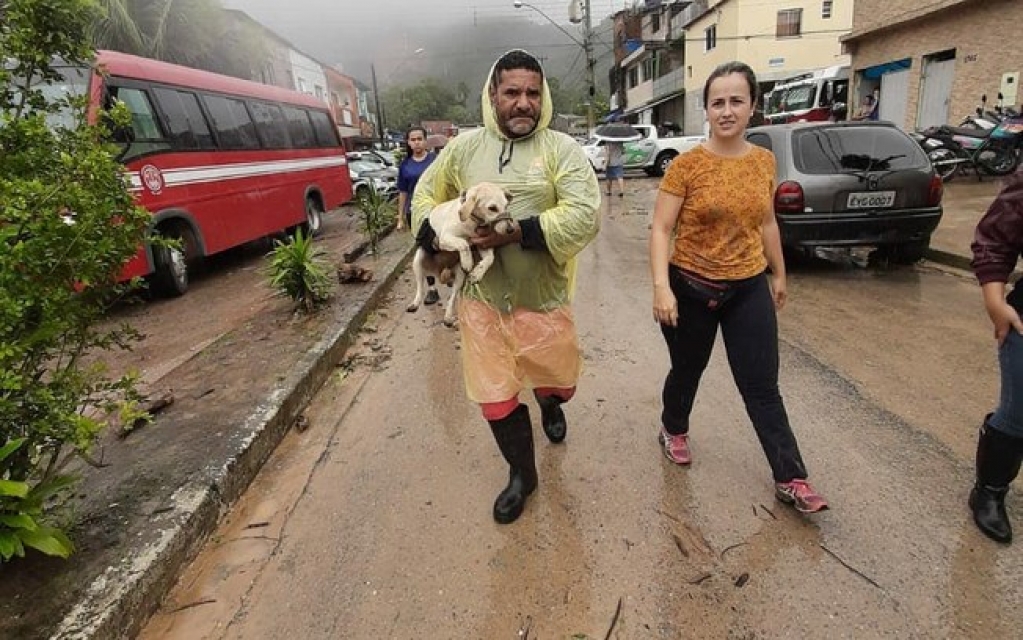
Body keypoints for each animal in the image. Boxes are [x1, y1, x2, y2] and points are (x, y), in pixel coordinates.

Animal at [407, 181, 515, 327]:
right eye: (492, 208)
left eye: (506, 205)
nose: (511, 230)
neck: (472, 223)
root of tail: (439, 271)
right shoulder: (443, 238)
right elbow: (463, 244)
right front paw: (468, 261)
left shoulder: (482, 243)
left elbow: (489, 259)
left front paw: (477, 273)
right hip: (417, 261)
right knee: (420, 287)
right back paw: (415, 303)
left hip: (459, 277)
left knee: (452, 298)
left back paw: (448, 317)